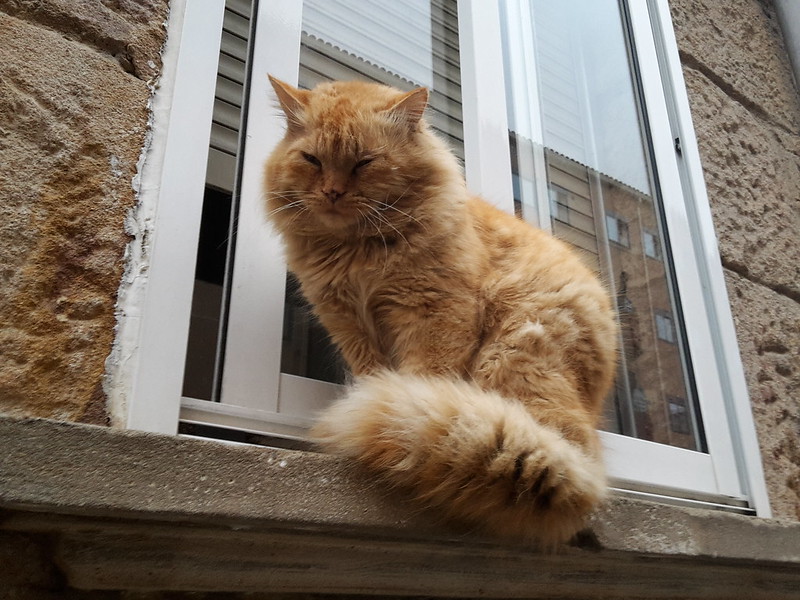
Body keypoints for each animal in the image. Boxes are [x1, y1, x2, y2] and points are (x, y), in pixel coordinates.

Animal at [264, 75, 618, 546]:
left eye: (364, 163)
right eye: (312, 159)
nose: (333, 193)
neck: (357, 251)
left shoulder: (434, 312)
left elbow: (423, 377)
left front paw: (401, 405)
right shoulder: (349, 324)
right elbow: (372, 373)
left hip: (510, 354)